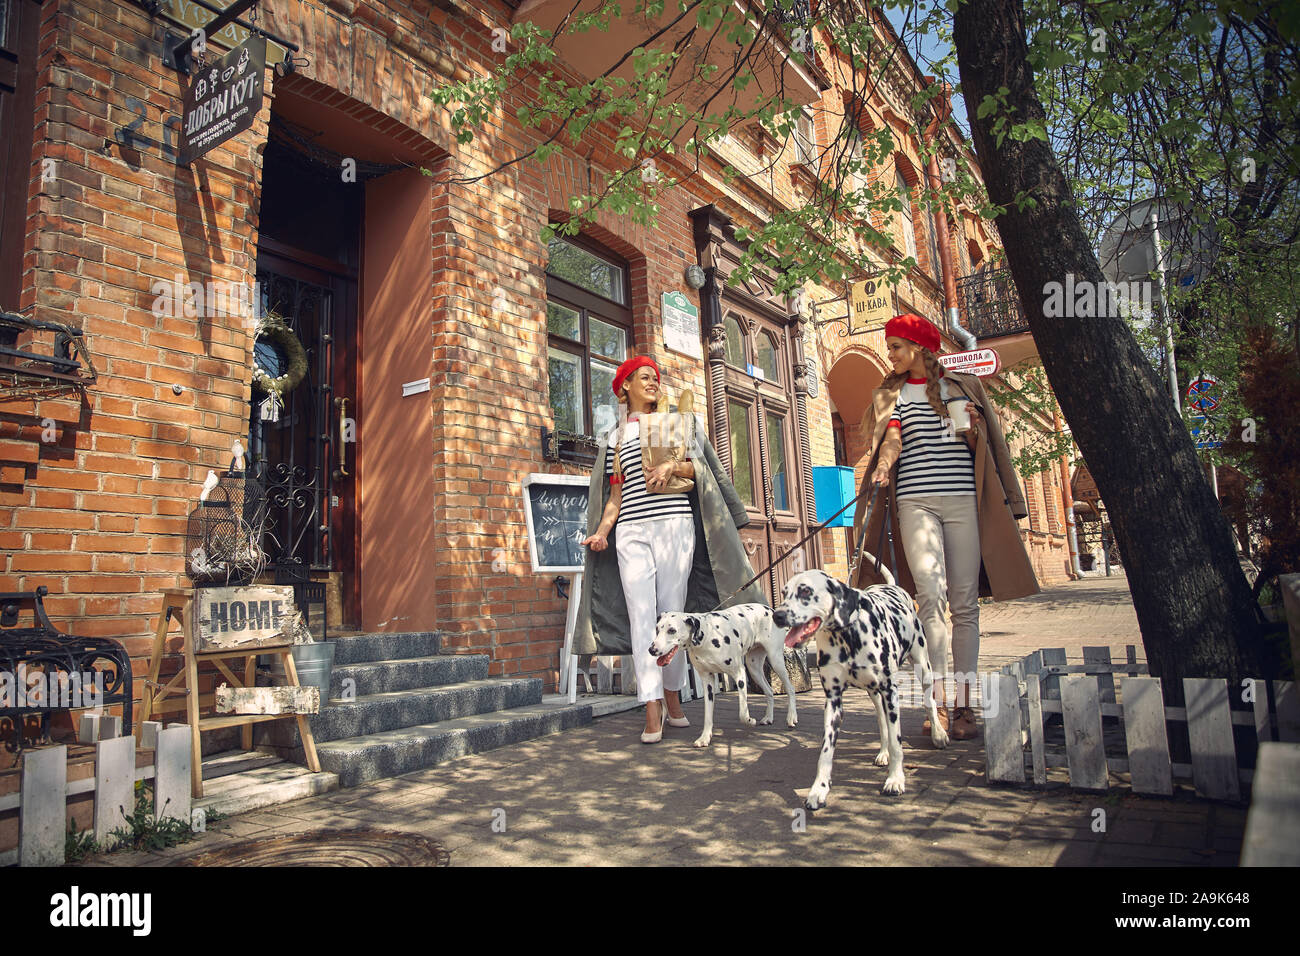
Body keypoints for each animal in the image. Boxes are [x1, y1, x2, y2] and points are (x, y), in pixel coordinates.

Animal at [650, 606, 800, 749]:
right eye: (657, 629)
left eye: (672, 630)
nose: (651, 650)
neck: (707, 635)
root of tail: (770, 609)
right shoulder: (708, 682)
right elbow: (708, 715)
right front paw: (705, 738)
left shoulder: (739, 675)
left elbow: (743, 714)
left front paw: (750, 721)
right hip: (754, 668)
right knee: (769, 691)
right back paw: (768, 717)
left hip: (776, 661)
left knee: (790, 689)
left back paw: (791, 717)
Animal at [769, 567, 946, 806]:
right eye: (784, 592)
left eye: (805, 591)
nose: (777, 615)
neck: (847, 636)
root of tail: (891, 586)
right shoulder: (833, 701)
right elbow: (825, 752)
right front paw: (818, 789)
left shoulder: (890, 692)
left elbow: (897, 742)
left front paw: (895, 780)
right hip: (875, 694)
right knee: (882, 722)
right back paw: (883, 752)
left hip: (922, 666)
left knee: (929, 702)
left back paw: (938, 734)